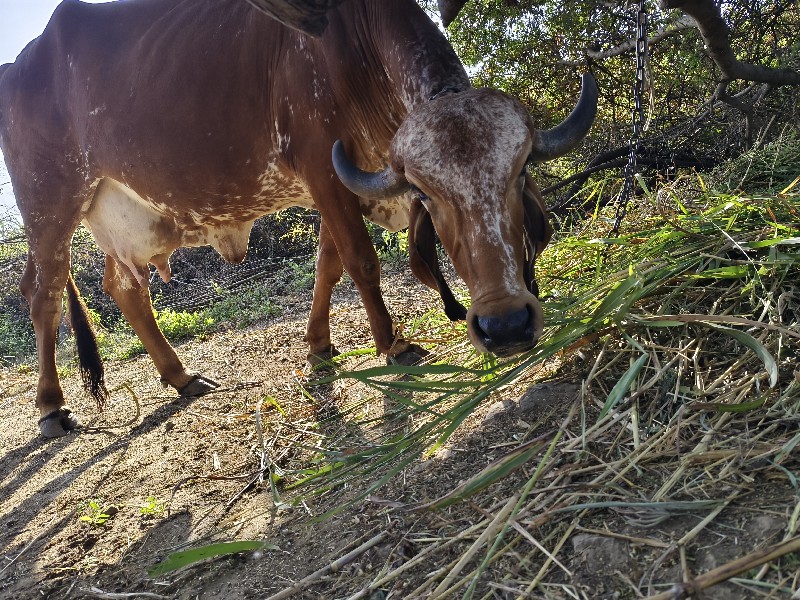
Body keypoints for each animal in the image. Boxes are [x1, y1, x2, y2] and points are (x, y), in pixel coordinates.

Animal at [0, 0, 592, 436]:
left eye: (519, 172)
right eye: (429, 193)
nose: (506, 324)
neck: (355, 47)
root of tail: (19, 64)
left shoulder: (340, 179)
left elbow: (328, 262)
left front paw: (319, 345)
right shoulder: (324, 167)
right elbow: (361, 260)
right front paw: (392, 344)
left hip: (123, 216)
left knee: (123, 287)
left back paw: (180, 374)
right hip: (51, 203)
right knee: (43, 292)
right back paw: (51, 406)